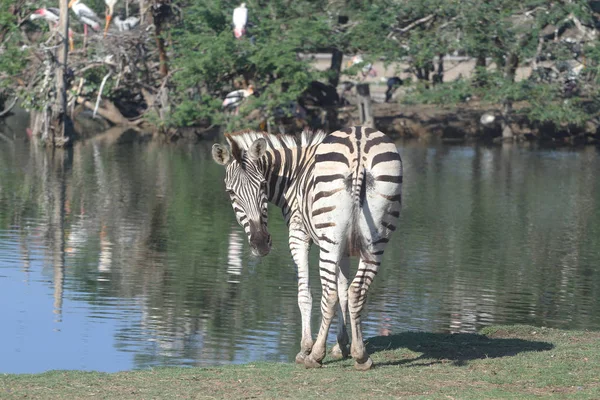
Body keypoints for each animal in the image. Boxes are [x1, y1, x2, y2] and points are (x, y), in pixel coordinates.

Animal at [211, 126, 404, 370]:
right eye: (231, 192)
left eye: (262, 184)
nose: (260, 243)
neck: (293, 175)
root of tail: (358, 142)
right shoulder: (345, 247)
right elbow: (344, 290)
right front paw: (342, 345)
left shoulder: (298, 234)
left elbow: (306, 295)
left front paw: (306, 348)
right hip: (376, 238)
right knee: (357, 291)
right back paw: (361, 356)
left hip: (330, 240)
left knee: (329, 294)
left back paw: (315, 356)